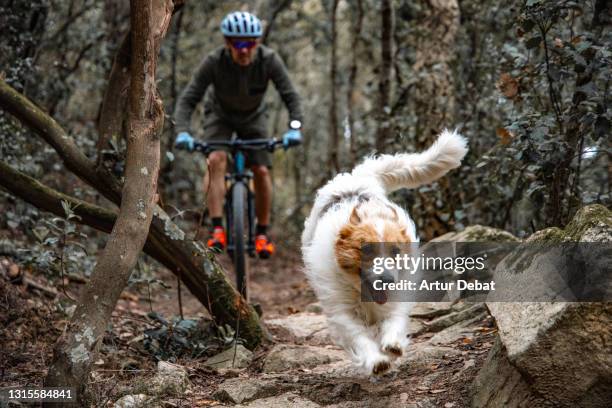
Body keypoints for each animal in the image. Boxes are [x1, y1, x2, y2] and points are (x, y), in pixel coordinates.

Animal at [302, 131, 468, 376]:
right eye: (366, 249)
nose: (387, 280)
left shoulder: (396, 296)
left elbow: (394, 320)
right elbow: (358, 336)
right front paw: (375, 360)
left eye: (396, 251)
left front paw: (393, 344)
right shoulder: (342, 309)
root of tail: (356, 177)